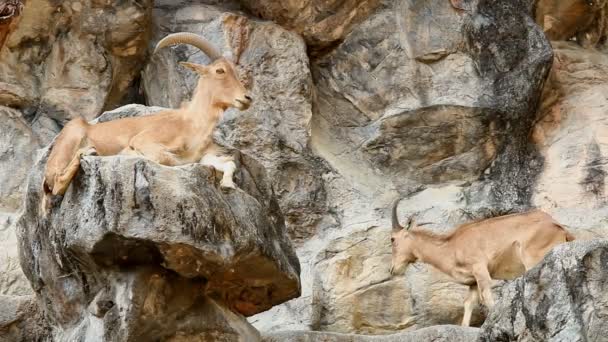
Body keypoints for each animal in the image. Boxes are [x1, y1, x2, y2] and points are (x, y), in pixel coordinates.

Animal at [42, 33, 252, 212]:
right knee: (58, 183)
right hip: (70, 140)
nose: (247, 98)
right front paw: (131, 153)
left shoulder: (201, 155)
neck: (190, 123)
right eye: (220, 70)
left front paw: (228, 184)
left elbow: (227, 163)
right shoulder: (146, 140)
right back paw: (88, 152)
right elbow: (168, 158)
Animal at [390, 199, 576, 328]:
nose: (393, 269)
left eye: (392, 239)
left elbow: (486, 296)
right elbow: (468, 303)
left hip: (532, 257)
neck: (452, 246)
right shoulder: (472, 281)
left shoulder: (480, 268)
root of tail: (558, 226)